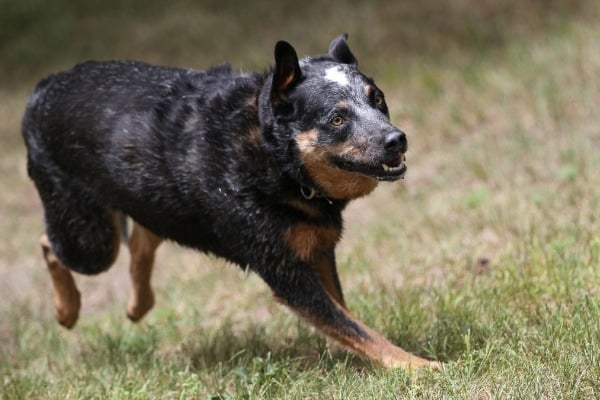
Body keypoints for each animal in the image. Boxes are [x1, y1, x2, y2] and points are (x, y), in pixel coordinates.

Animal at [21, 34, 438, 368]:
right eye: (337, 119)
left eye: (378, 99)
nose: (396, 139)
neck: (276, 157)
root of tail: (42, 87)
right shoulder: (286, 272)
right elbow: (352, 325)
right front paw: (419, 367)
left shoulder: (316, 250)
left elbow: (345, 318)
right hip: (90, 240)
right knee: (51, 244)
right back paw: (67, 311)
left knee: (143, 234)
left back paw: (137, 305)